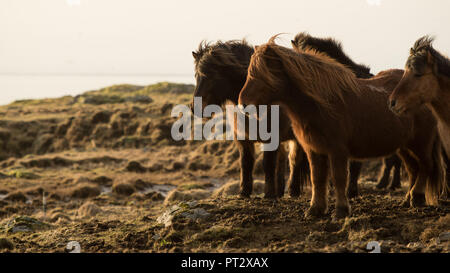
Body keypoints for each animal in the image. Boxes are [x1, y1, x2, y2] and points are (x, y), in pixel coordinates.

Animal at [190, 39, 310, 198]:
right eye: (196, 76)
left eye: (211, 75)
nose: (194, 108)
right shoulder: (242, 138)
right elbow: (246, 163)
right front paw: (244, 192)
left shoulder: (271, 138)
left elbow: (268, 164)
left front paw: (268, 194)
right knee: (282, 159)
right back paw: (280, 191)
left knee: (294, 160)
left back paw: (293, 191)